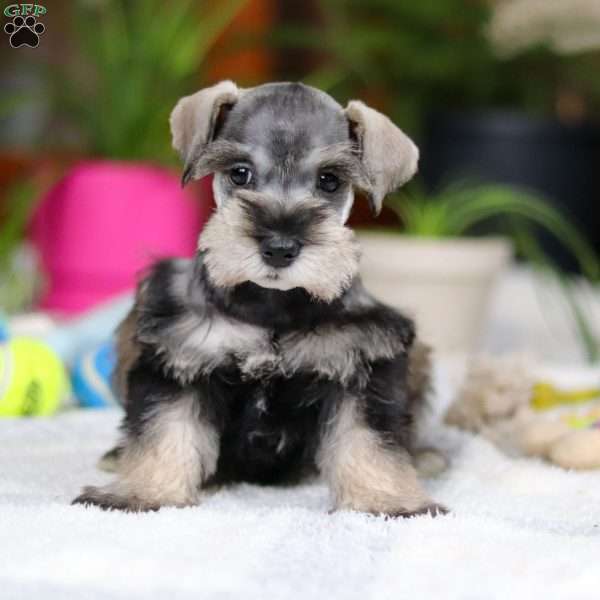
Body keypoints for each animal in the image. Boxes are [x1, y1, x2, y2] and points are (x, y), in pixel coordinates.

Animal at [74, 79, 446, 516]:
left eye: (330, 180)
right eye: (240, 173)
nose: (280, 248)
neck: (273, 305)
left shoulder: (361, 361)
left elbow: (370, 439)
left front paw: (386, 501)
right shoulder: (181, 354)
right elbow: (164, 430)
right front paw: (141, 493)